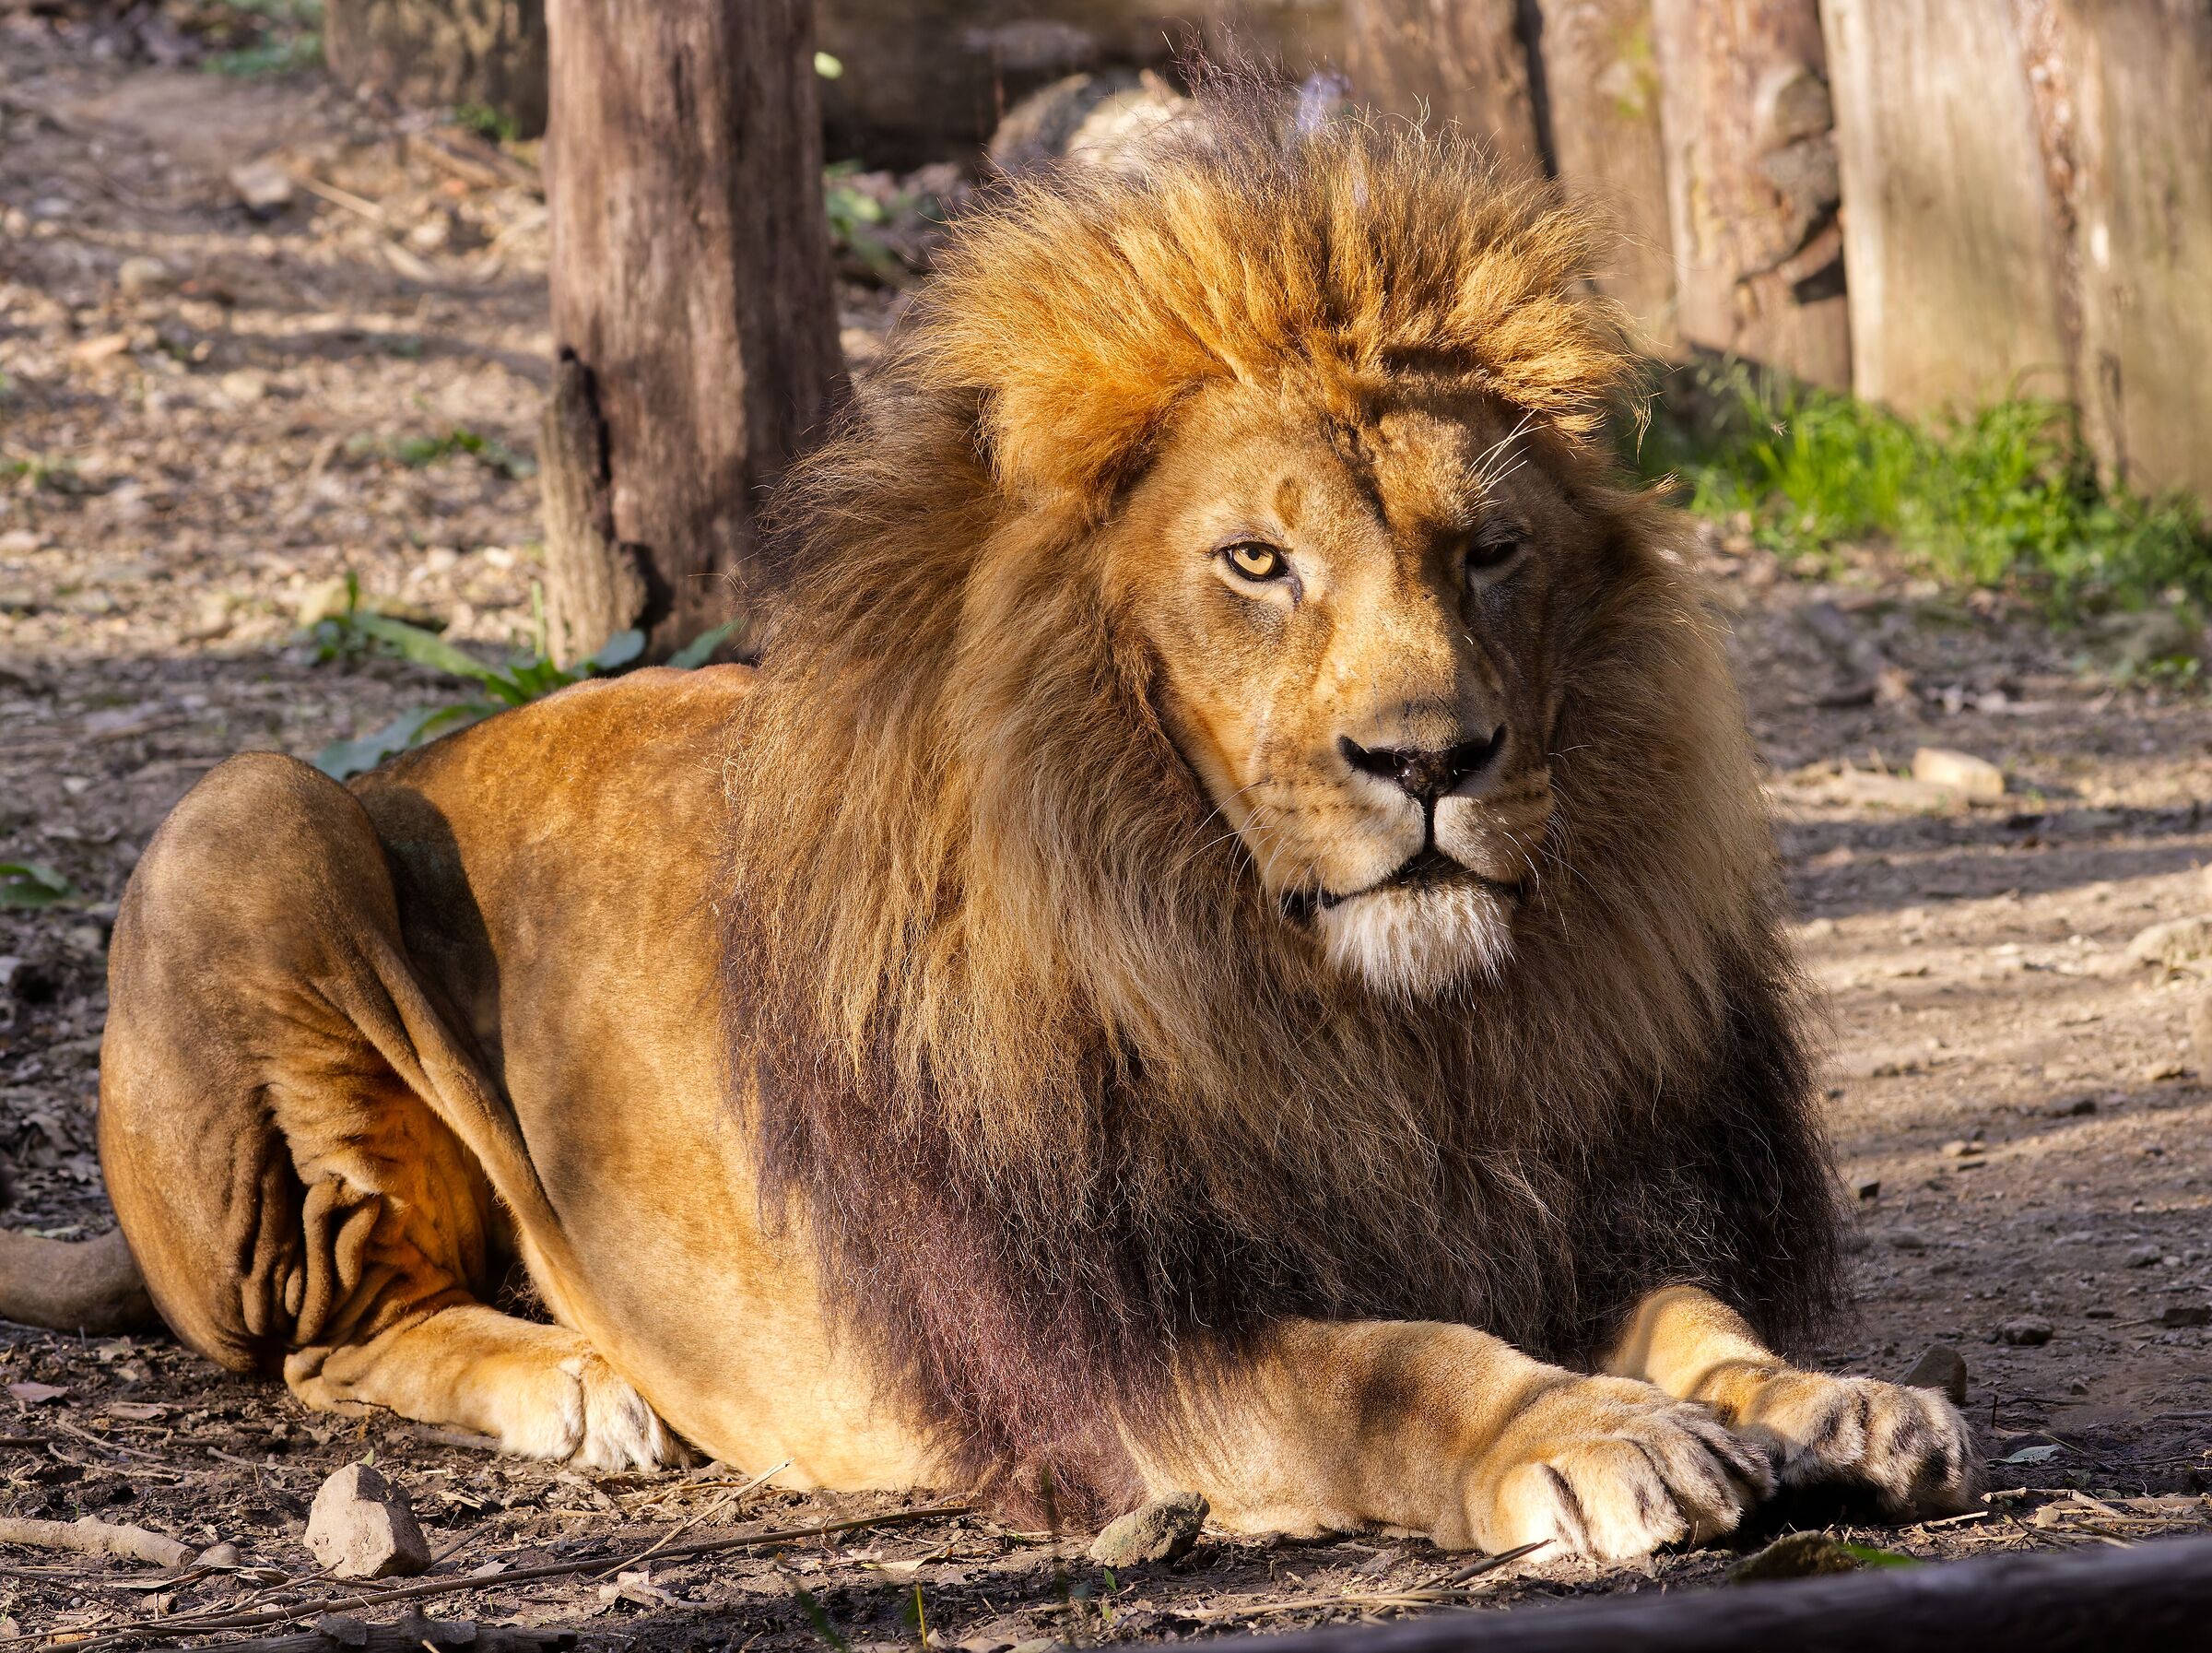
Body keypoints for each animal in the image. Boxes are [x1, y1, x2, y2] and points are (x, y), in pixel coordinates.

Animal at [0, 106, 1982, 1566]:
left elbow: (1684, 1301)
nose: (1432, 756)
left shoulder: (1544, 1203)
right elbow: (1394, 1365)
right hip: (255, 809)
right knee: (325, 1342)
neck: (1340, 1015)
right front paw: (1585, 1430)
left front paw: (1825, 1394)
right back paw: (577, 1384)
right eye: (1256, 561)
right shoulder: (1116, 1352)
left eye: (1486, 550)